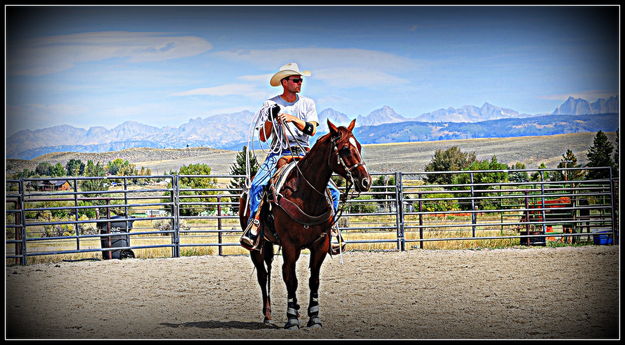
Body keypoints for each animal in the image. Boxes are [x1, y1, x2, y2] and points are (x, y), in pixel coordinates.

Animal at [236, 119, 368, 330]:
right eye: (346, 149)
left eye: (360, 147)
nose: (366, 181)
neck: (306, 194)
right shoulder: (290, 246)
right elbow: (291, 280)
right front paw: (292, 319)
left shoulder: (320, 245)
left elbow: (314, 280)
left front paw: (314, 317)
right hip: (258, 247)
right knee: (263, 275)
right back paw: (268, 315)